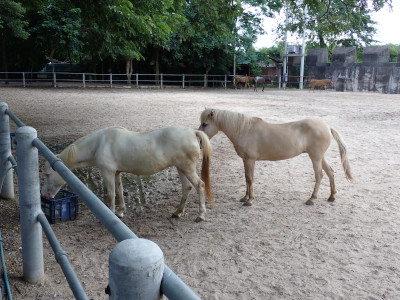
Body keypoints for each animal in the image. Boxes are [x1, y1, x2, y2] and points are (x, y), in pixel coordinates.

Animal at [41, 125, 214, 221]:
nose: (44, 194)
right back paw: (177, 212)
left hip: (187, 169)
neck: (99, 143)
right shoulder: (116, 173)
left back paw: (201, 215)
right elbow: (119, 191)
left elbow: (110, 194)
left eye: (48, 174)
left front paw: (111, 213)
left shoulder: (108, 172)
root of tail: (192, 132)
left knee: (200, 185)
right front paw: (121, 212)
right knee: (187, 188)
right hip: (181, 169)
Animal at [198, 109, 354, 207]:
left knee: (319, 175)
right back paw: (331, 197)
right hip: (320, 157)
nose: (199, 141)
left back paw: (311, 199)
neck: (244, 129)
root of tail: (327, 127)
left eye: (205, 124)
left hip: (315, 157)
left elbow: (250, 179)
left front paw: (250, 200)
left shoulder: (250, 160)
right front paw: (245, 197)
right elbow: (246, 178)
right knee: (330, 172)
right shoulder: (245, 160)